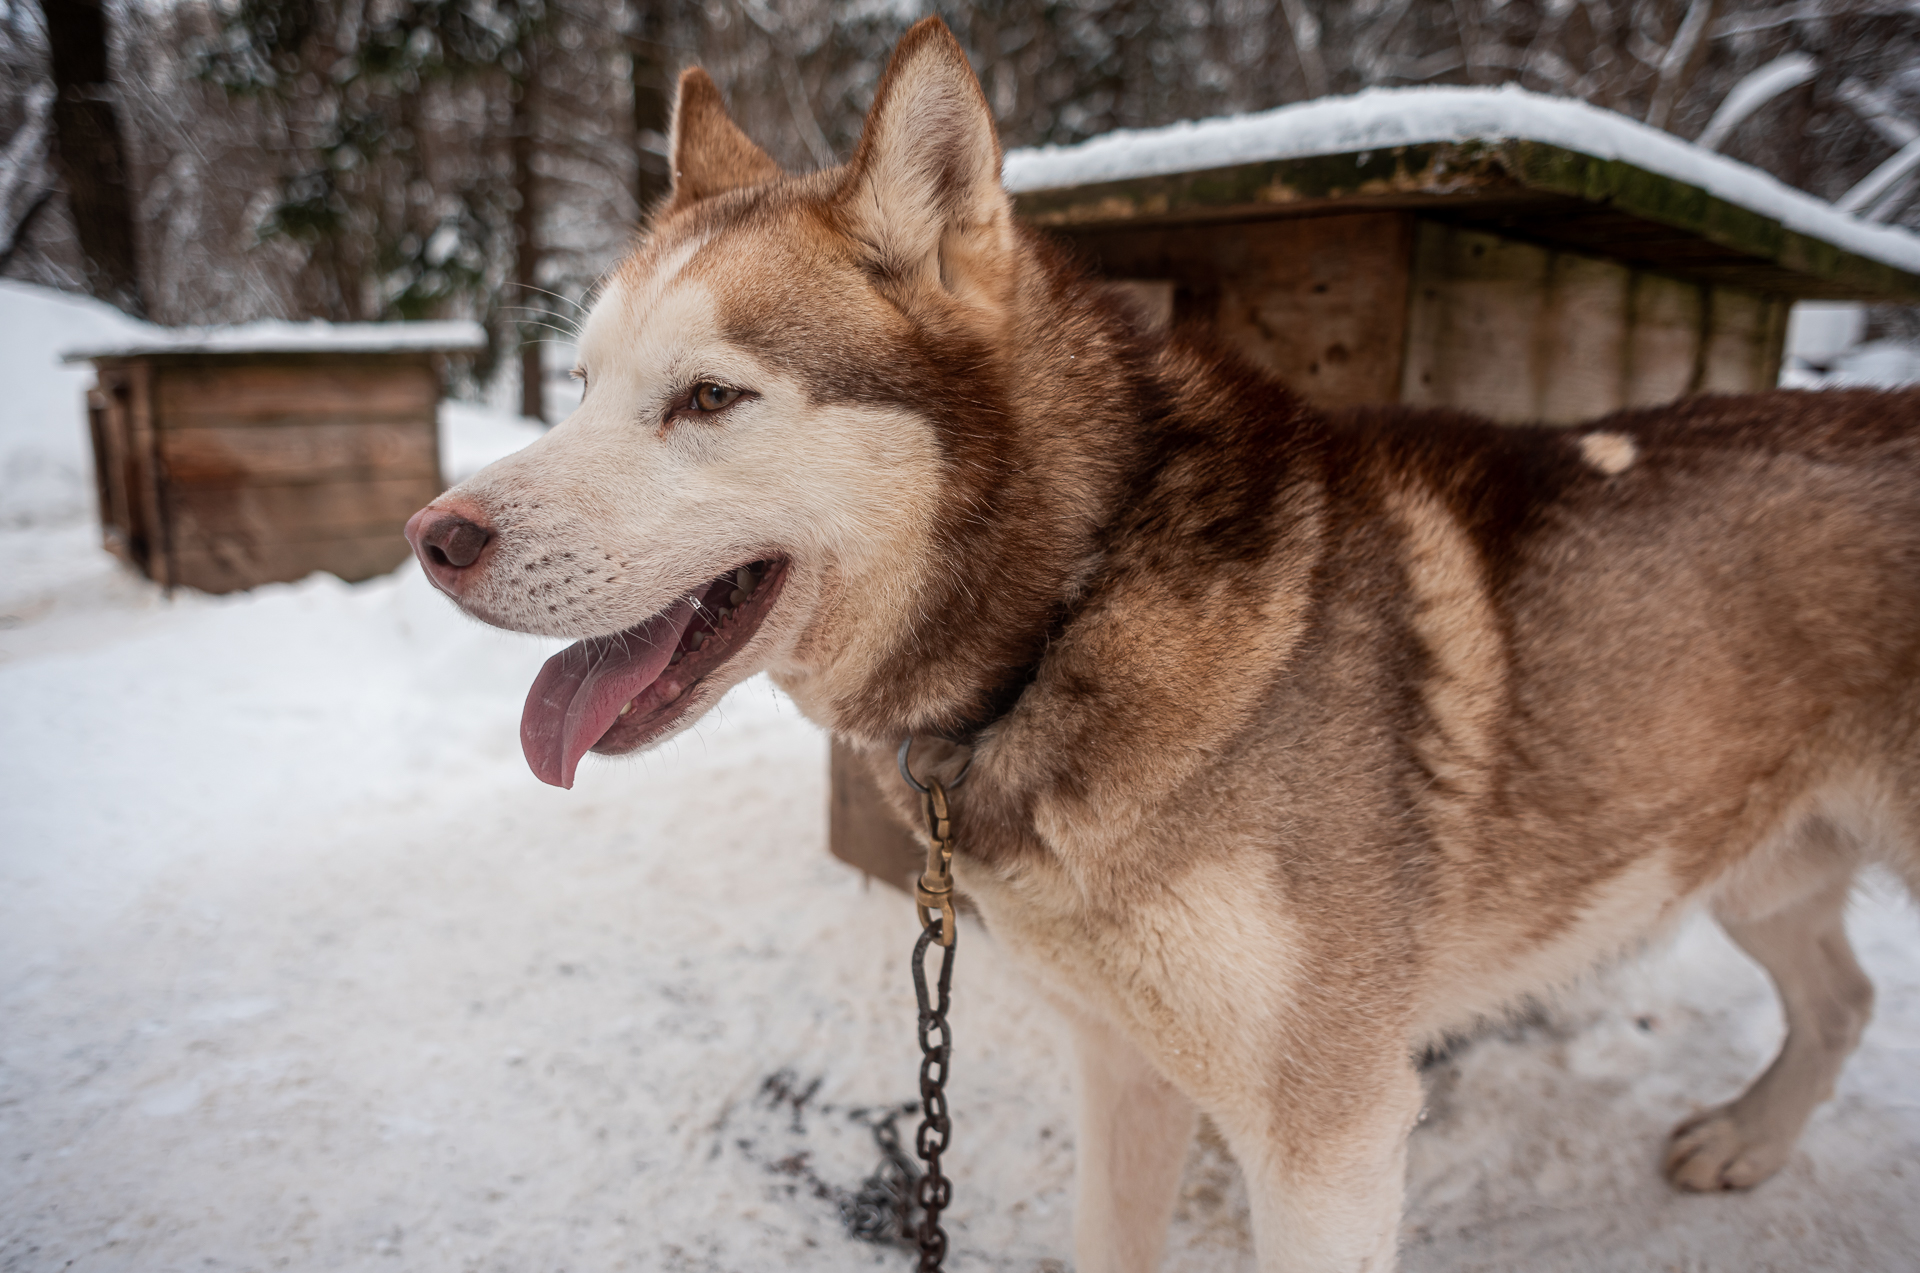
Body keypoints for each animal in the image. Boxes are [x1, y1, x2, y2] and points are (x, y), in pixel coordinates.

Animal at [405, 19, 1920, 1273]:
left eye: (711, 398)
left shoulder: (1330, 1139)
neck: (1068, 611)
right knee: (1842, 1000)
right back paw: (1750, 1138)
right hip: (1760, 863)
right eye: (583, 385)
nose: (434, 535)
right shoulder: (1123, 1066)